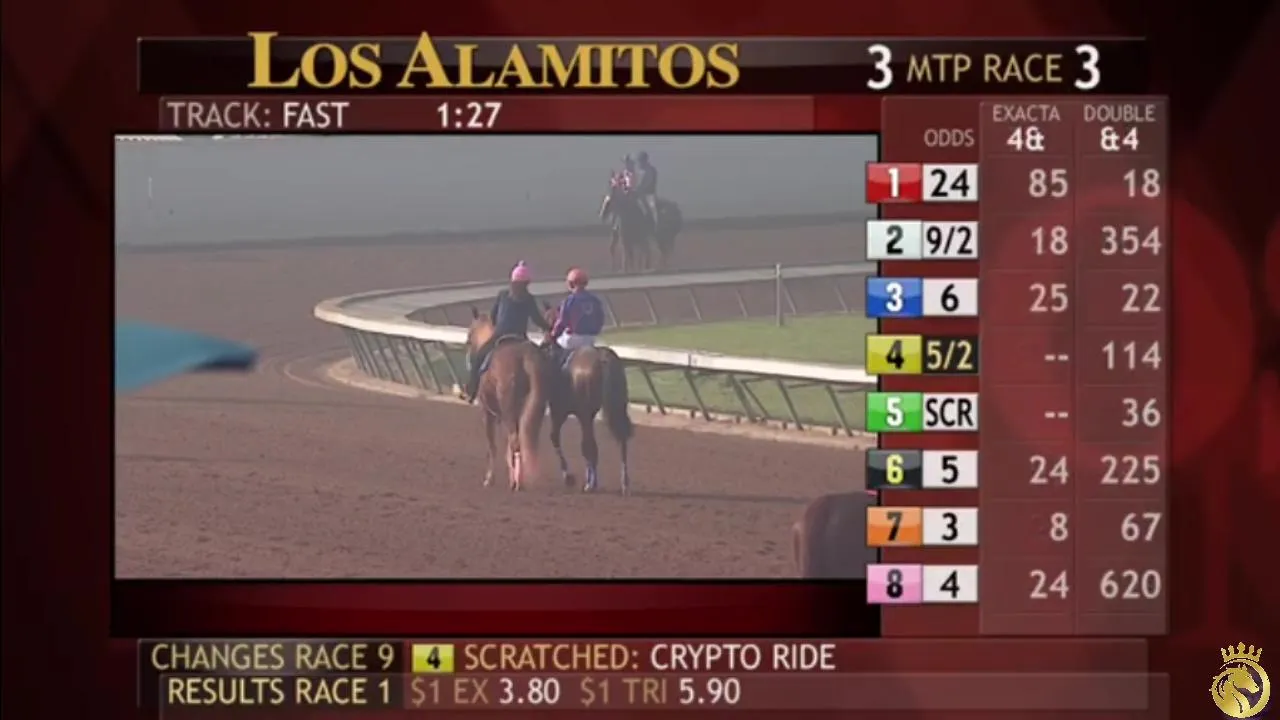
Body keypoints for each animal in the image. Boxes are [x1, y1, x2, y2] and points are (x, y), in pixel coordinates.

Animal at [463, 310, 550, 491]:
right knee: (524, 441)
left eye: (469, 337)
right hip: (533, 411)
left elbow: (492, 446)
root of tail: (525, 358)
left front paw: (489, 479)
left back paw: (517, 482)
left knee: (515, 440)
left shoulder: (487, 413)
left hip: (508, 409)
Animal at [541, 303, 635, 493]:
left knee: (590, 445)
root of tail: (602, 358)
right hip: (617, 407)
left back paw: (591, 484)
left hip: (584, 413)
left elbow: (555, 437)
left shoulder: (559, 411)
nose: (544, 342)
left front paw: (569, 477)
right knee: (621, 438)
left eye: (548, 318)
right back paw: (624, 482)